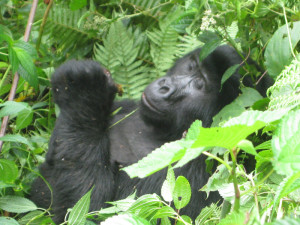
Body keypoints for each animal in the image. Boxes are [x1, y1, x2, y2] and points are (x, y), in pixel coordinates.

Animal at [29, 44, 272, 222]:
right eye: (191, 66)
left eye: (200, 85)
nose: (166, 86)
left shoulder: (200, 172)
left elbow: (85, 210)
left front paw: (84, 93)